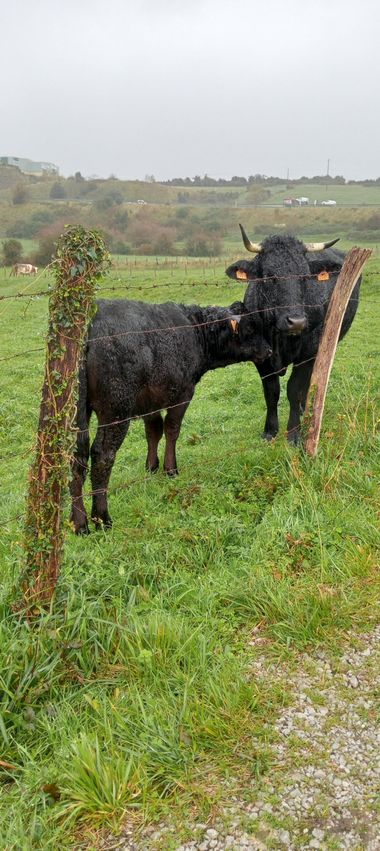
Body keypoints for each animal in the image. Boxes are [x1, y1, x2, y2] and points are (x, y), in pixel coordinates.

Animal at [70, 300, 272, 532]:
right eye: (250, 329)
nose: (269, 350)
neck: (195, 330)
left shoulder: (150, 402)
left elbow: (153, 432)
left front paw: (151, 467)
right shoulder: (183, 394)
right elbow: (171, 430)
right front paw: (170, 469)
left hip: (78, 410)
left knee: (76, 456)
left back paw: (79, 522)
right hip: (116, 408)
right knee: (102, 455)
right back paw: (102, 518)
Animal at [226, 225, 362, 446]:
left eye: (305, 276)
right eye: (269, 277)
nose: (296, 322)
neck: (280, 338)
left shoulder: (307, 354)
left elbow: (294, 389)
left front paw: (293, 432)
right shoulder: (261, 358)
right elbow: (271, 392)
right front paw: (270, 431)